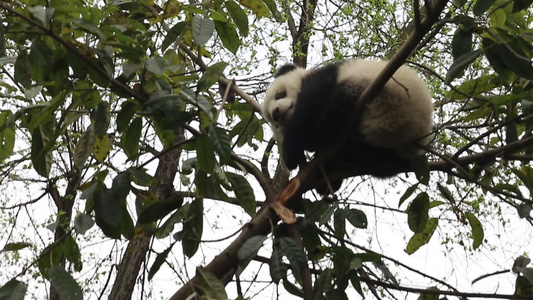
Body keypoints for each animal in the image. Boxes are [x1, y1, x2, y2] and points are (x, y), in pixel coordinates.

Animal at [262, 59, 432, 192]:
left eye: (279, 95)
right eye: (275, 124)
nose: (276, 113)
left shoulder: (322, 80)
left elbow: (307, 110)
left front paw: (291, 156)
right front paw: (325, 183)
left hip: (380, 92)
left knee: (336, 108)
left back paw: (316, 140)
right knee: (381, 164)